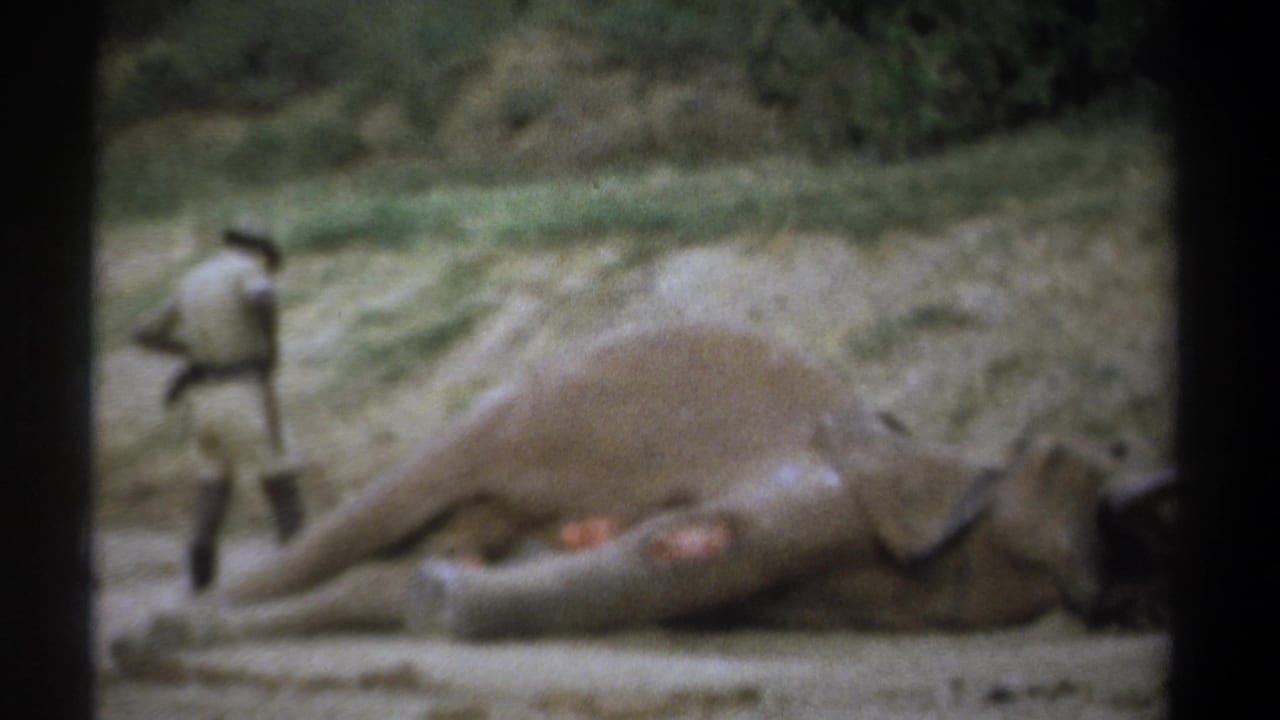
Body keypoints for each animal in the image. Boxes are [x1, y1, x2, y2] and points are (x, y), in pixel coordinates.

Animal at [112, 324, 1174, 655]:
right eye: (1073, 463)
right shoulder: (831, 484)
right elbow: (689, 543)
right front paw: (441, 603)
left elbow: (684, 567)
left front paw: (436, 598)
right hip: (537, 402)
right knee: (387, 505)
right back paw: (159, 635)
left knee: (398, 560)